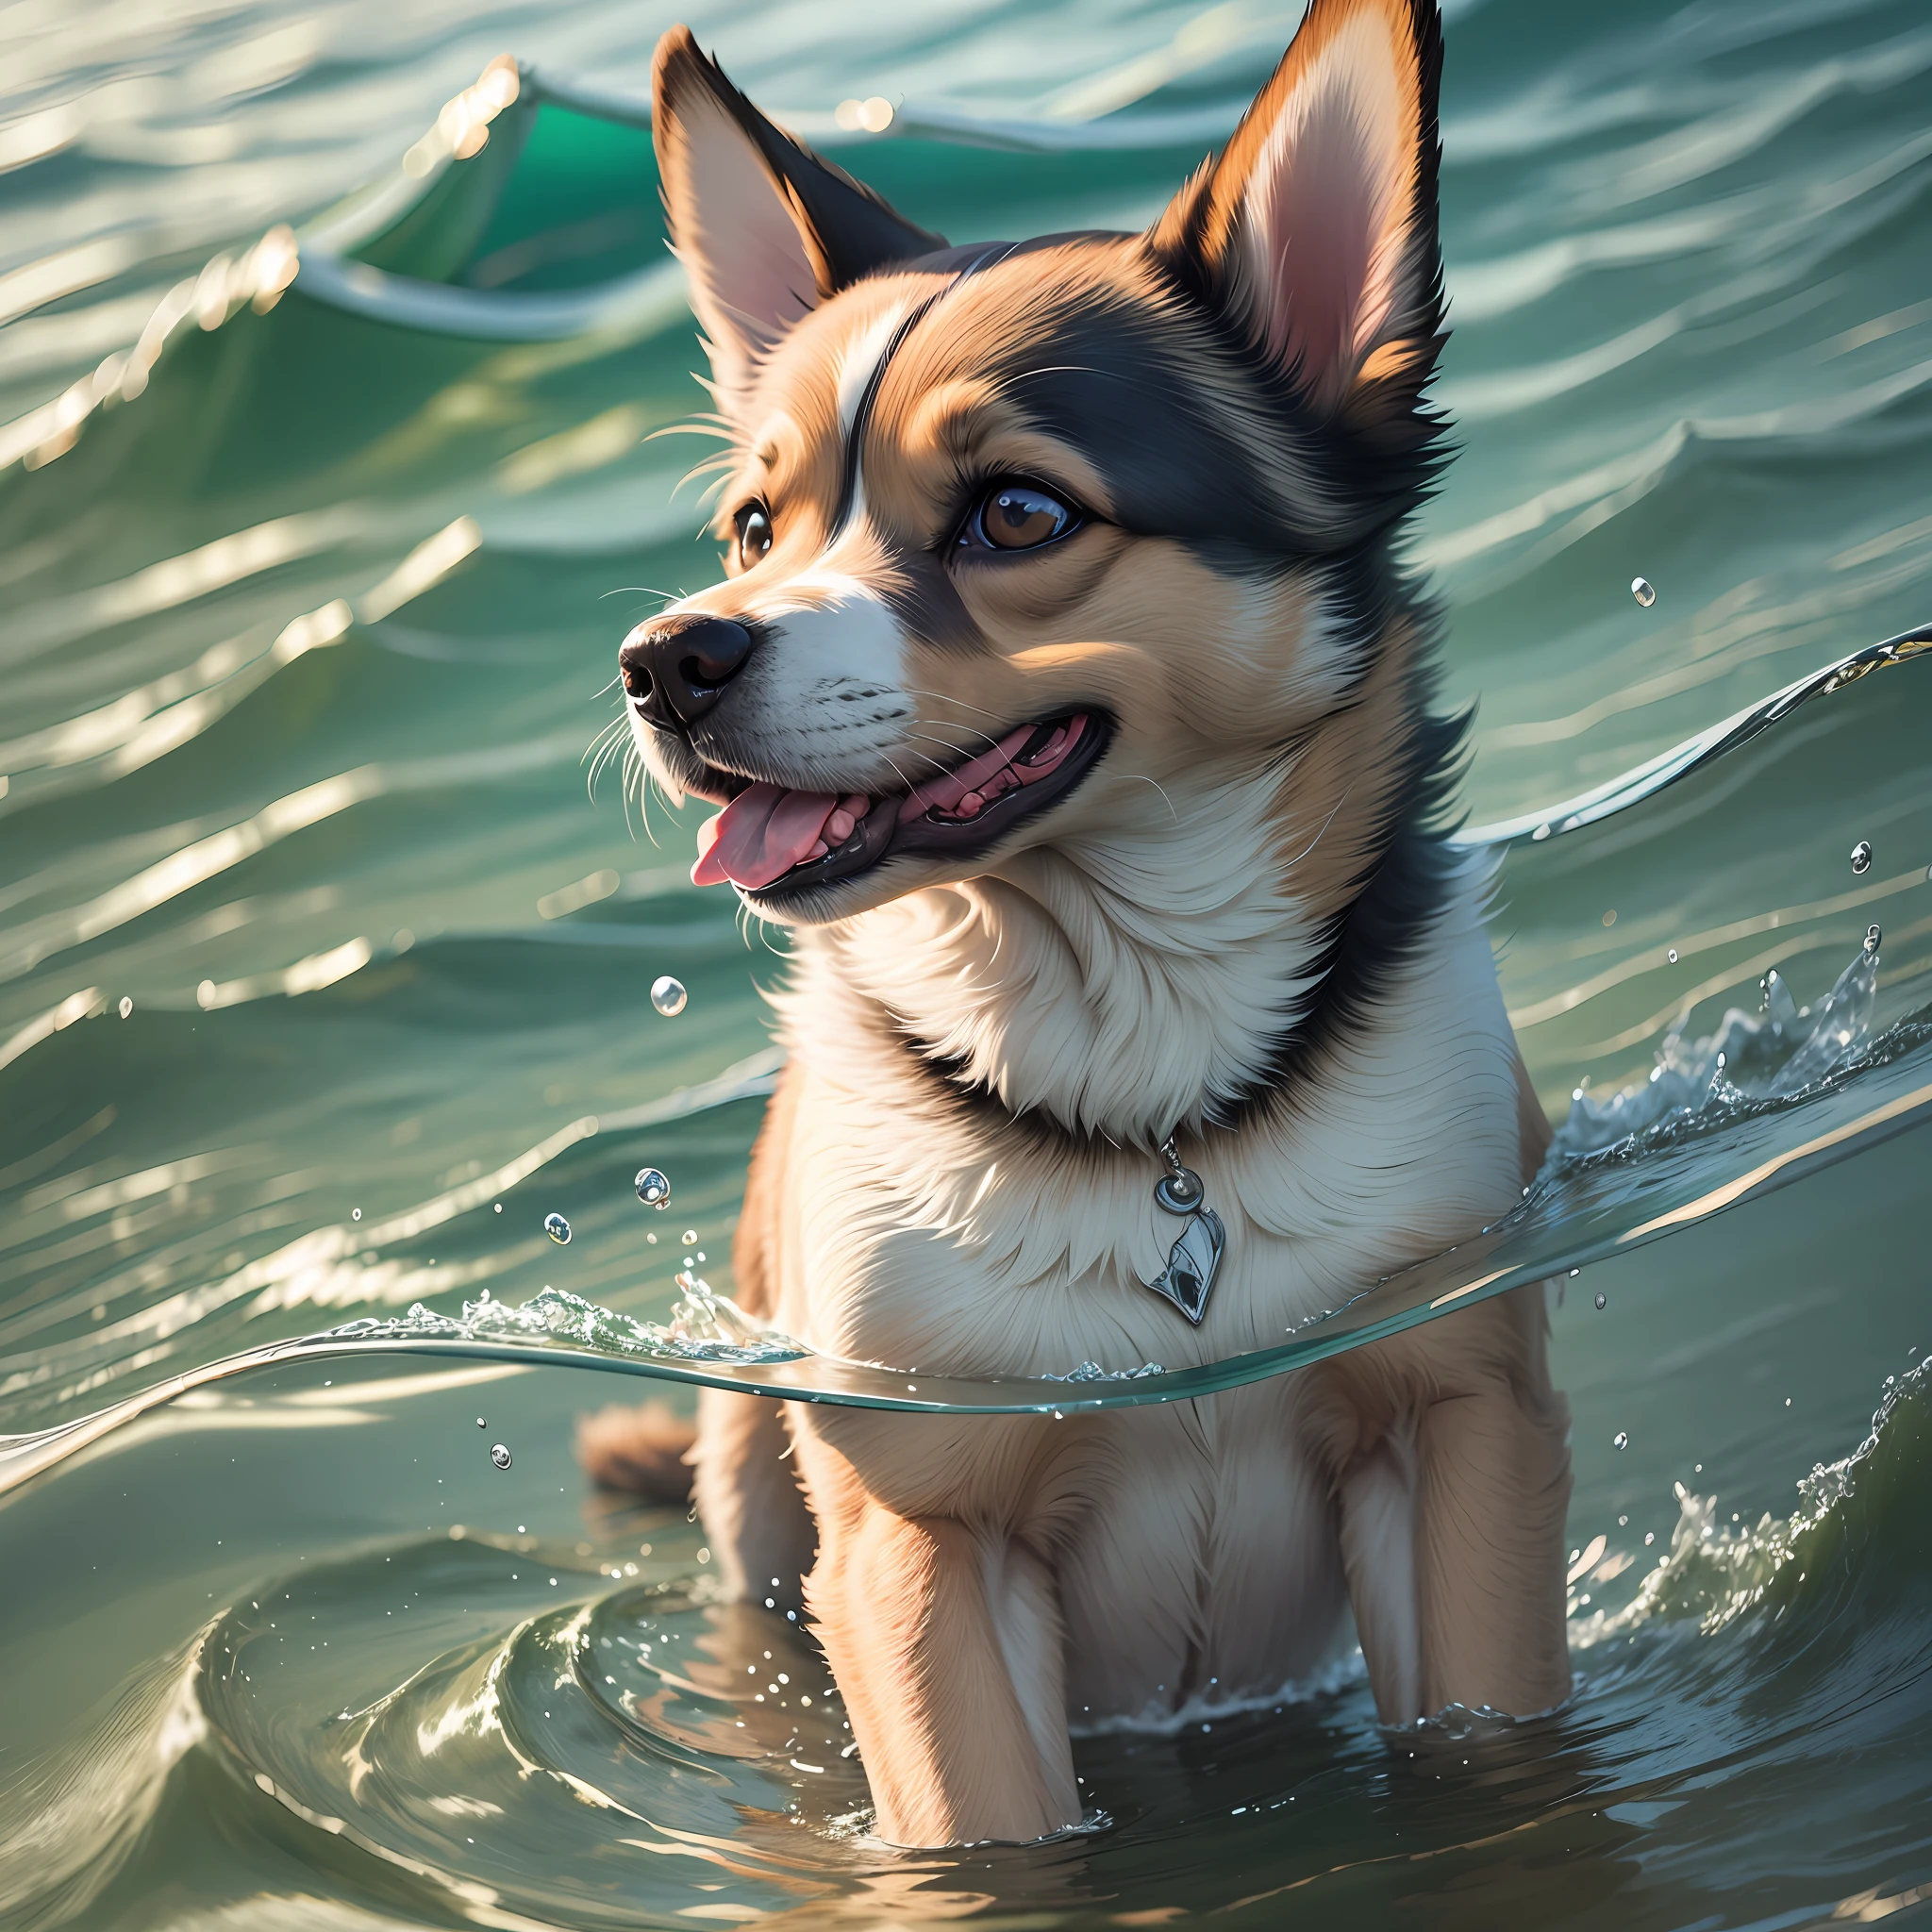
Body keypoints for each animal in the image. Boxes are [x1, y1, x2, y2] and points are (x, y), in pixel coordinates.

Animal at [579, 0, 1576, 1839]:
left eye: (1018, 512)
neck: (1144, 1103)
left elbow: (1496, 1753)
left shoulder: (1454, 1411)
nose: (667, 659)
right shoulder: (919, 1542)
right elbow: (986, 1842)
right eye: (754, 527)